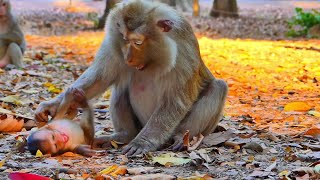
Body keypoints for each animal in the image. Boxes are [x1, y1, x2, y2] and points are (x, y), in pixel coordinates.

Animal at [35, 0, 228, 156]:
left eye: (138, 42)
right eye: (124, 39)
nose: (128, 58)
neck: (154, 59)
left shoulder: (183, 54)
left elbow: (175, 101)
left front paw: (143, 142)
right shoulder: (113, 47)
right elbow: (100, 78)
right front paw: (51, 105)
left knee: (219, 87)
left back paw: (183, 137)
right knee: (122, 87)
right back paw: (124, 135)